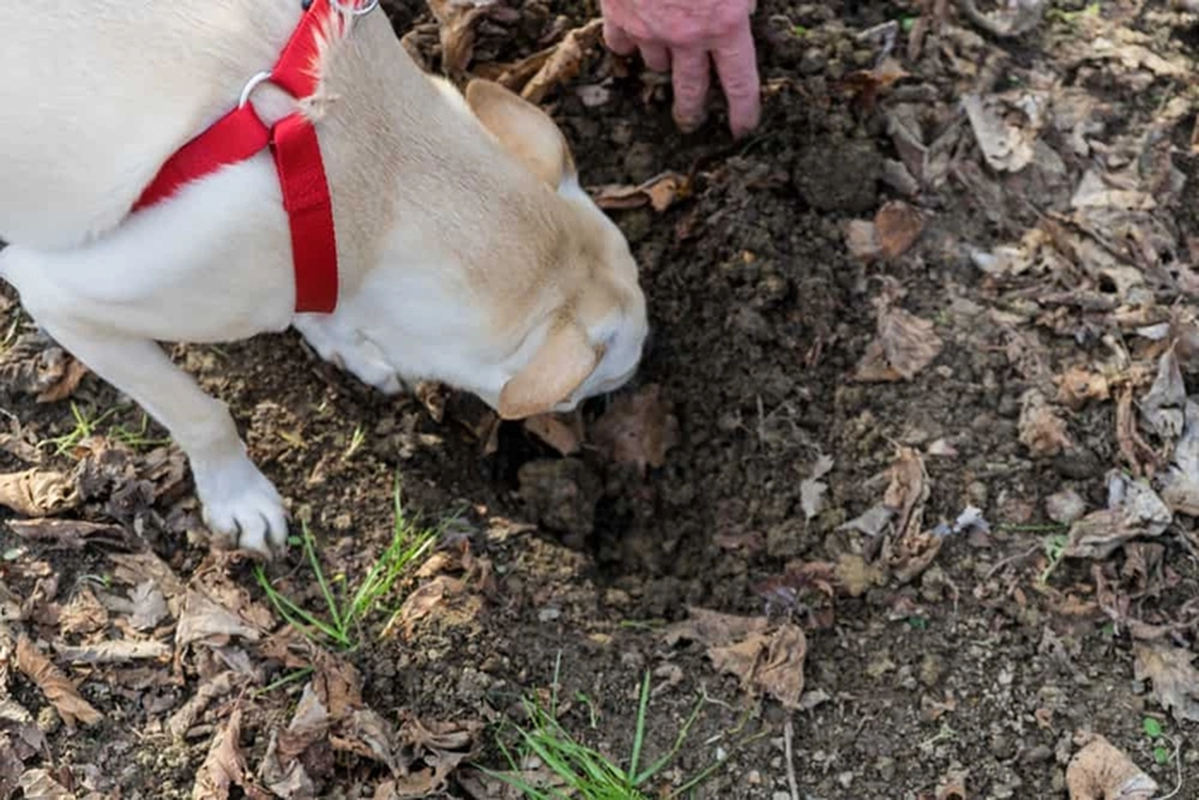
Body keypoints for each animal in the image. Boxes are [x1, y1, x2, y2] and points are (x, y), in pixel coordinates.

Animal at [0, 1, 647, 556]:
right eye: (593, 389)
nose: (588, 439)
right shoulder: (60, 298)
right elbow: (201, 414)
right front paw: (237, 494)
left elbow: (321, 309)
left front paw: (347, 344)